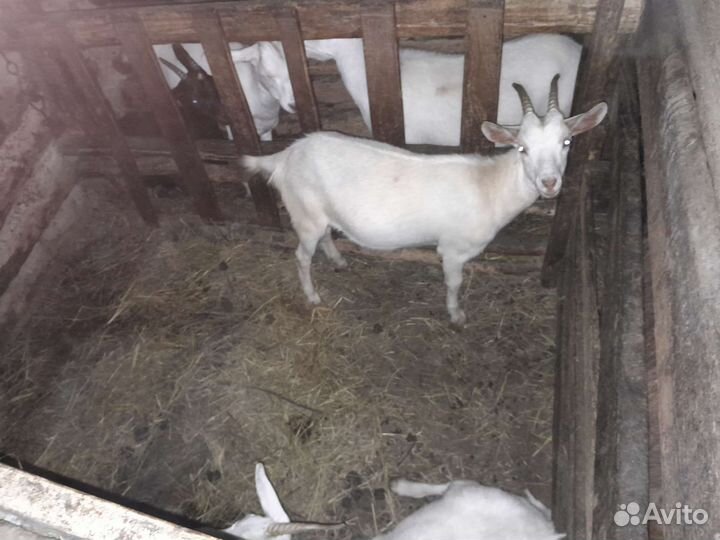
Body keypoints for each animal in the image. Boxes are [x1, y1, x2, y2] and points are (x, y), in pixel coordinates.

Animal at [243, 77, 606, 325]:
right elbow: (454, 282)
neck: (490, 187)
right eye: (522, 148)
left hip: (321, 213)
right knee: (302, 256)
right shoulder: (454, 249)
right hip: (304, 214)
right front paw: (456, 315)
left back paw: (339, 261)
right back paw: (313, 295)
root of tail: (285, 156)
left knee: (327, 236)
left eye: (567, 142)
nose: (549, 182)